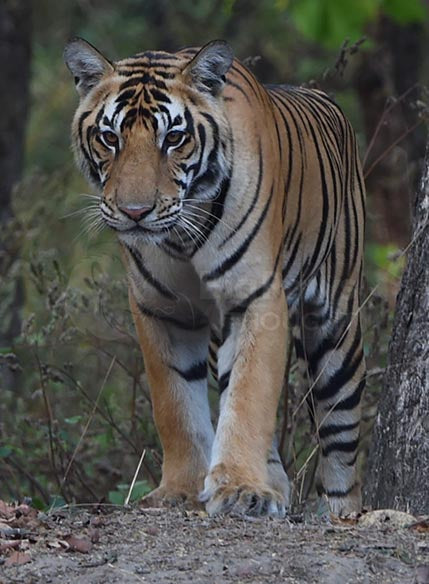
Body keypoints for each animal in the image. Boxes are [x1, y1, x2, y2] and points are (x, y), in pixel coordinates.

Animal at [65, 38, 366, 516]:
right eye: (110, 137)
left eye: (174, 138)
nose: (135, 212)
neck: (180, 238)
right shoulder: (160, 308)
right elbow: (175, 406)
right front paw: (182, 490)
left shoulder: (256, 297)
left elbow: (248, 395)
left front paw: (242, 488)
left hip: (336, 329)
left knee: (341, 431)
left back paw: (340, 511)